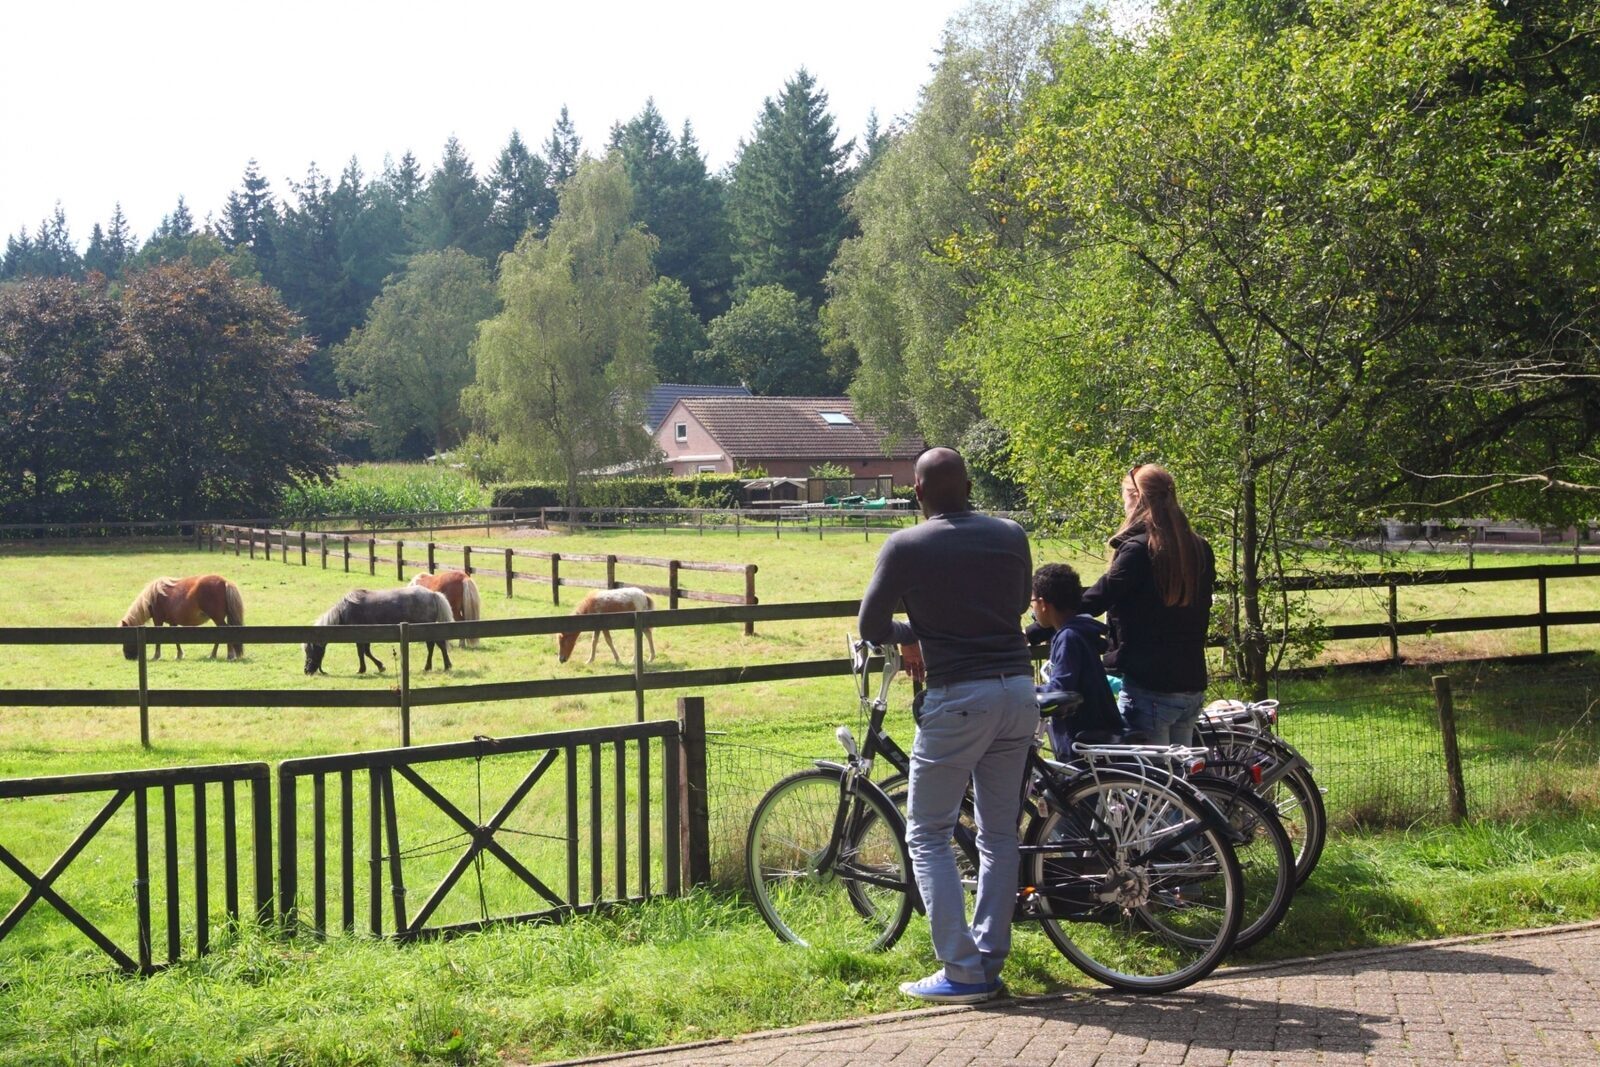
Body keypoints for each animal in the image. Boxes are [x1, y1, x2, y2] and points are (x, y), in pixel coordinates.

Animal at [300, 585, 454, 675]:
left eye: (310, 651)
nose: (307, 670)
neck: (344, 611)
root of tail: (433, 594)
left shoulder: (359, 636)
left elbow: (362, 653)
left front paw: (363, 669)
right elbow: (366, 652)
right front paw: (379, 667)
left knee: (437, 644)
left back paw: (444, 666)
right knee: (434, 645)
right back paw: (431, 667)